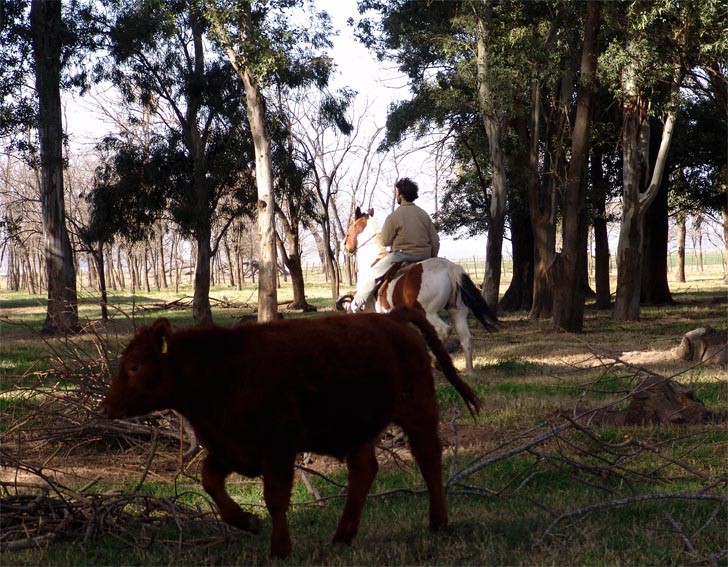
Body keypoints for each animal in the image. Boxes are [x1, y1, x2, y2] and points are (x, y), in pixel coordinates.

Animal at [99, 306, 480, 560]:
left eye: (134, 366)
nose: (107, 407)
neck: (223, 368)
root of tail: (393, 319)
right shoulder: (233, 448)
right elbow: (210, 481)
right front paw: (247, 522)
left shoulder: (277, 448)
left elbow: (276, 497)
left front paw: (279, 548)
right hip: (358, 432)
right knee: (364, 471)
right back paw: (342, 536)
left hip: (418, 412)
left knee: (428, 458)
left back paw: (438, 522)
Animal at [342, 206, 494, 374]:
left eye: (349, 229)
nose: (345, 247)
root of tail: (450, 268)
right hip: (457, 311)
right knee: (466, 338)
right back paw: (469, 372)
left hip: (428, 313)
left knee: (443, 330)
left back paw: (434, 362)